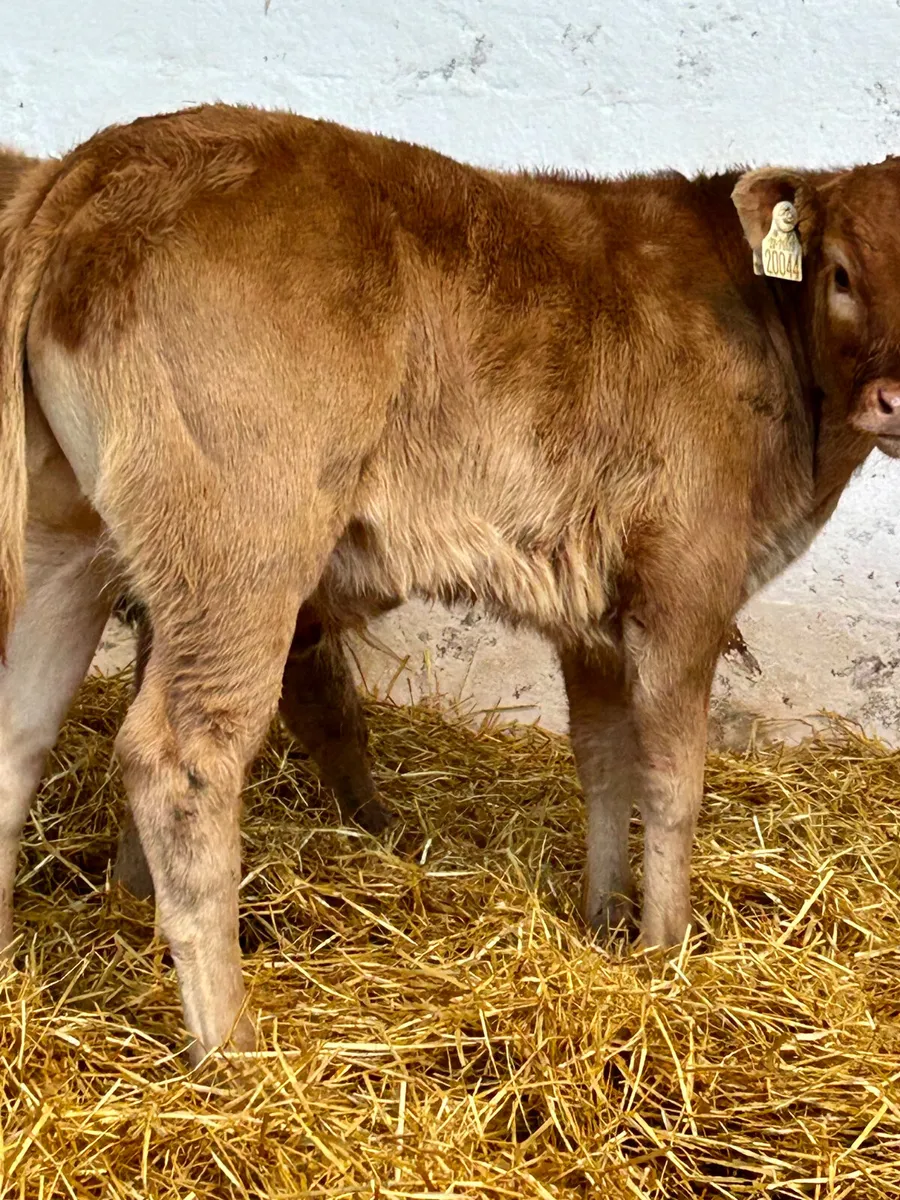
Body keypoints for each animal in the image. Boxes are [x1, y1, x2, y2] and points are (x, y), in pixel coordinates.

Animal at [0, 104, 894, 1062]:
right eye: (841, 273)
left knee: (21, 728)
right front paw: (667, 951)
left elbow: (604, 763)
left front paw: (604, 922)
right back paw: (235, 1050)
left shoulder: (591, 613)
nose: (893, 399)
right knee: (183, 757)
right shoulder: (685, 582)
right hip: (240, 547)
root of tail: (105, 157)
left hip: (67, 534)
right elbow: (673, 780)